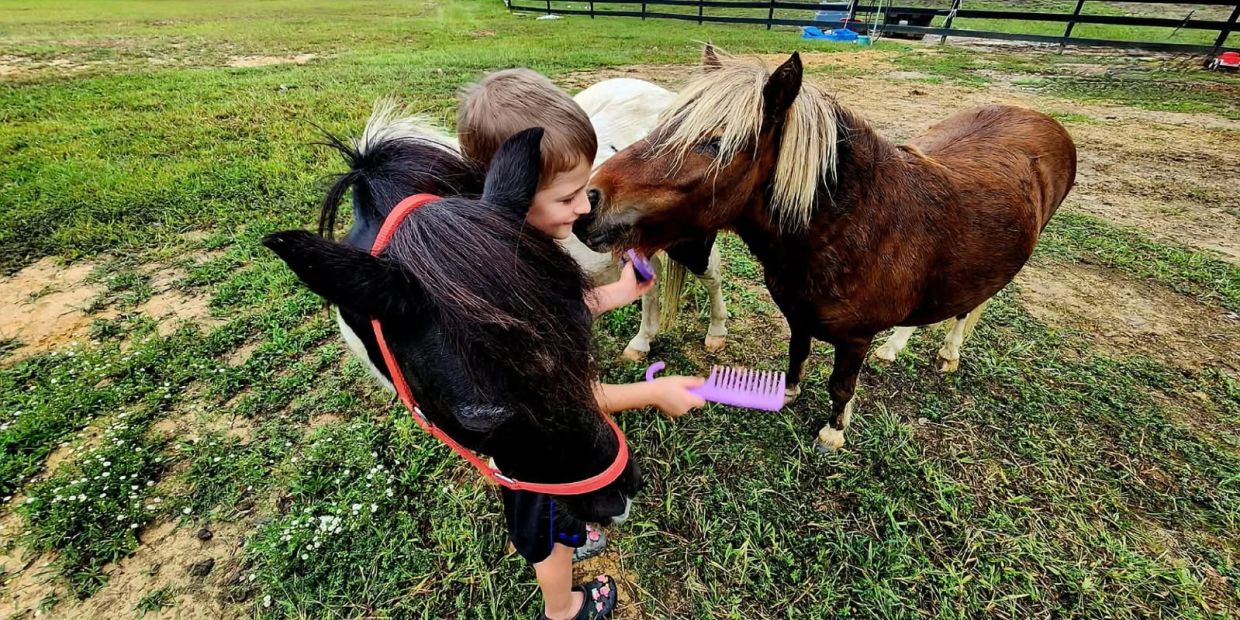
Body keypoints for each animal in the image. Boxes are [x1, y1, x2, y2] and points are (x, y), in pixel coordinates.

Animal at [577, 47, 1077, 453]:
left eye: (715, 143)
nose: (589, 203)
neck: (857, 228)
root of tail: (1044, 121)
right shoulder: (799, 314)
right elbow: (797, 356)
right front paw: (788, 395)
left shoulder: (854, 339)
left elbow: (841, 385)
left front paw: (833, 432)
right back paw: (895, 348)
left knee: (968, 309)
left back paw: (949, 353)